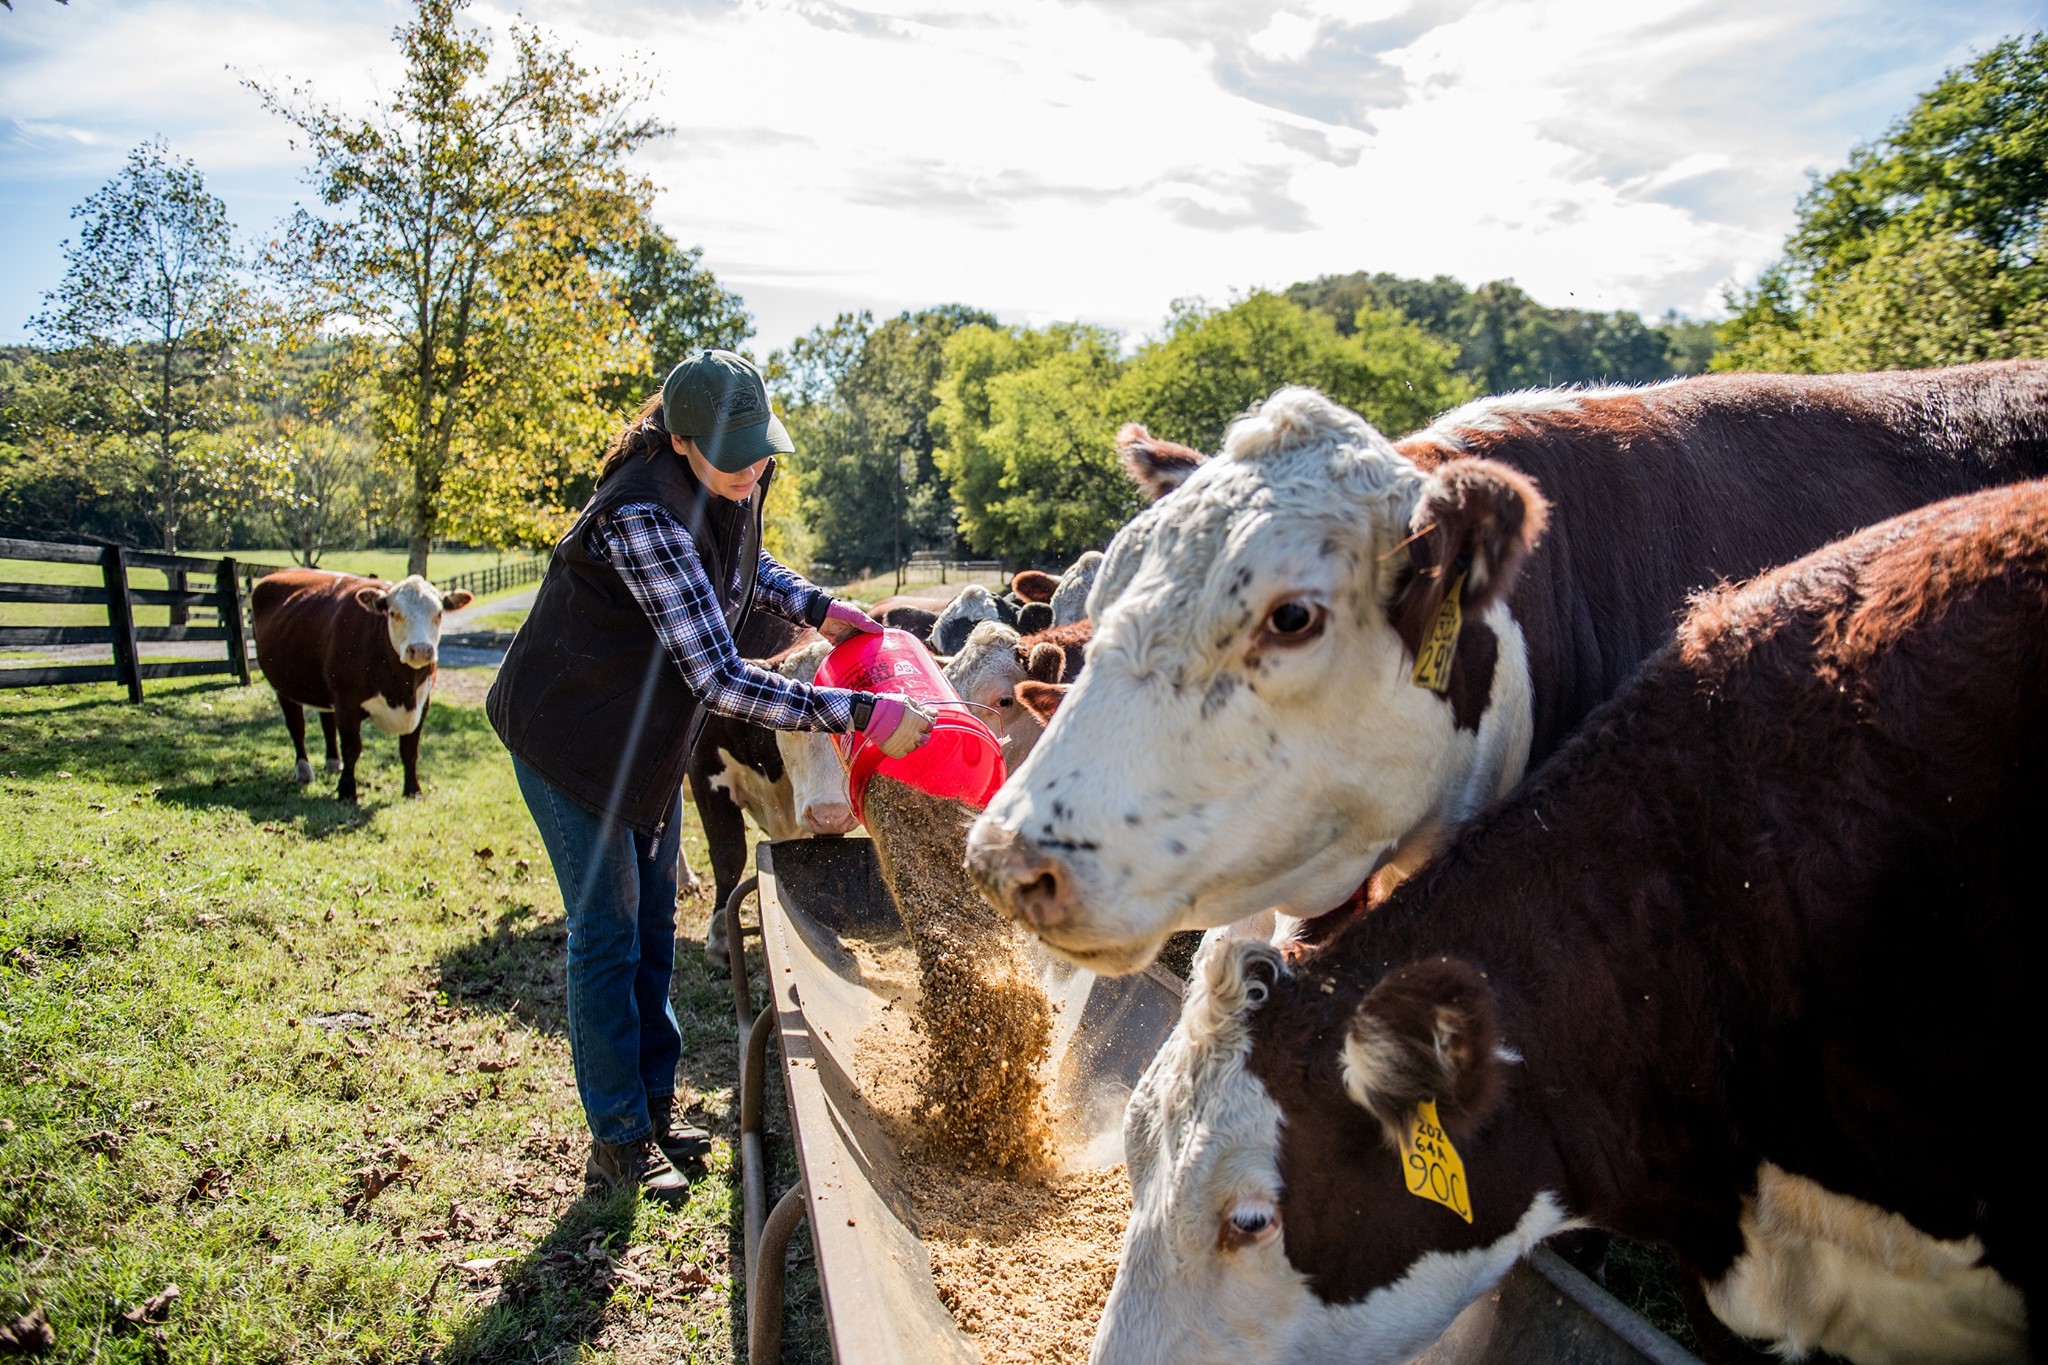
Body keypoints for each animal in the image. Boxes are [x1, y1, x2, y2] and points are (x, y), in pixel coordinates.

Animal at [251, 569, 473, 803]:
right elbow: (352, 748)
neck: (402, 688)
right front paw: (347, 791)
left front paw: (413, 790)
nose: (421, 650)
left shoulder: (423, 702)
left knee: (327, 721)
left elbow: (409, 749)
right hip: (283, 686)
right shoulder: (346, 701)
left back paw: (333, 763)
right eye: (393, 613)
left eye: (438, 614)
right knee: (296, 727)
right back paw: (304, 772)